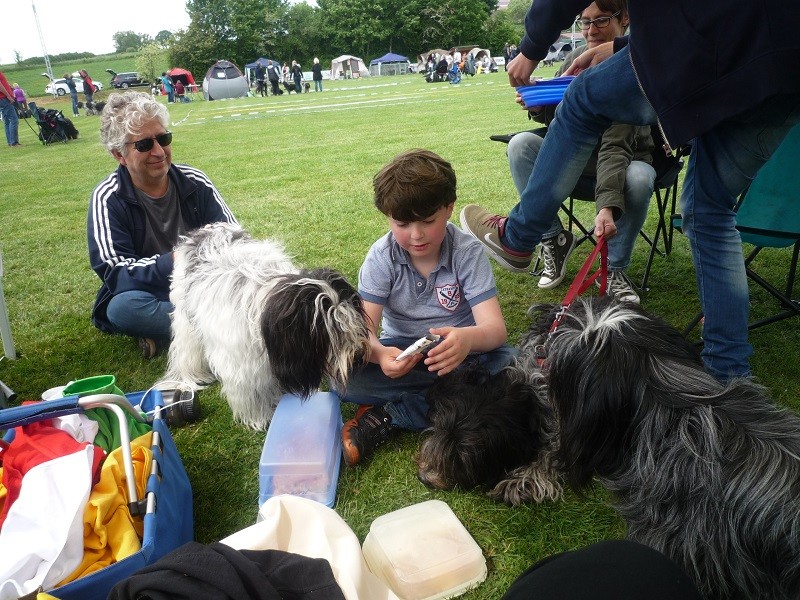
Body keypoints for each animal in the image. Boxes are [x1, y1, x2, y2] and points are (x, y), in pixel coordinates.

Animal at [167, 223, 374, 428]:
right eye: (329, 332)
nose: (358, 356)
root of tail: (203, 231)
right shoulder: (243, 365)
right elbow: (251, 392)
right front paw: (260, 418)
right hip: (185, 319)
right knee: (186, 350)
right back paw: (192, 376)